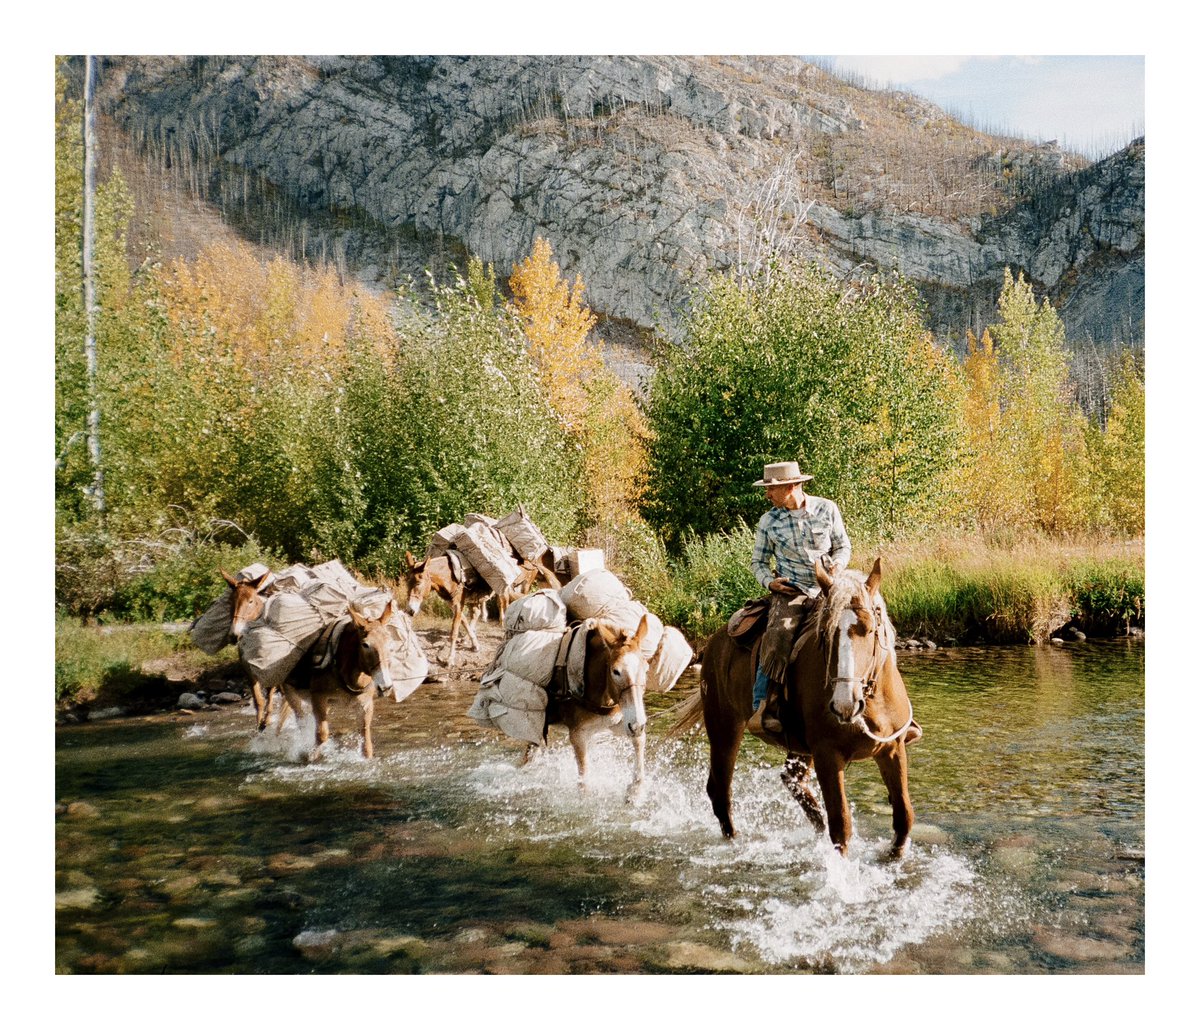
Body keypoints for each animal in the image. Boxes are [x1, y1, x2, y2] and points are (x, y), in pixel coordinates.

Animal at [280, 597, 393, 758]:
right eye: (365, 644)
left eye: (390, 642)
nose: (386, 687)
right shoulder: (318, 697)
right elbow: (322, 735)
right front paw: (310, 756)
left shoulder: (366, 704)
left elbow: (366, 744)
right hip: (291, 693)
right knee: (301, 721)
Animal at [530, 609, 652, 801]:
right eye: (615, 671)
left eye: (646, 669)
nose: (637, 725)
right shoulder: (578, 735)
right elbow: (584, 782)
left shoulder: (618, 722)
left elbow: (639, 742)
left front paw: (634, 791)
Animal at [676, 557, 916, 854]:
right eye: (825, 633)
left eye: (871, 629)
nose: (845, 705)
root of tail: (714, 642)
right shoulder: (827, 754)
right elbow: (841, 826)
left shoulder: (892, 748)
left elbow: (904, 817)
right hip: (724, 727)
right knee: (720, 789)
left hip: (798, 747)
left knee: (792, 781)